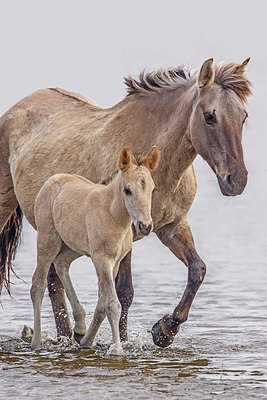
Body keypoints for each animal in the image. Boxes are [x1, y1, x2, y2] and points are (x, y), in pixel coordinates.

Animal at [30, 146, 160, 354]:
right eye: (127, 190)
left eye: (152, 189)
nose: (145, 226)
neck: (114, 216)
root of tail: (52, 179)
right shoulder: (102, 258)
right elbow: (112, 304)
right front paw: (117, 349)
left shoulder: (114, 262)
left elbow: (102, 303)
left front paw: (86, 341)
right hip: (48, 240)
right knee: (38, 284)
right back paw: (37, 342)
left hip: (75, 246)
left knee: (61, 262)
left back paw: (80, 324)